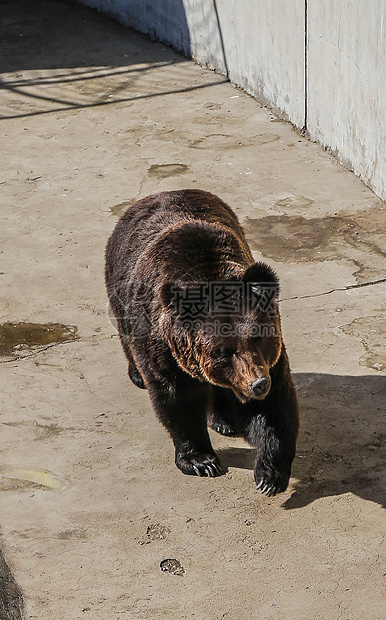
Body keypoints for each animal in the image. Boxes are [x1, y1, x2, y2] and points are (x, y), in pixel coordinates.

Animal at [105, 191, 298, 496]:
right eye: (222, 351)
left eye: (258, 336)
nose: (258, 383)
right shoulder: (164, 349)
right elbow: (177, 400)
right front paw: (201, 461)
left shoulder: (270, 360)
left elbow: (274, 409)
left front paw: (270, 475)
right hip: (118, 285)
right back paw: (136, 374)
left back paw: (224, 420)